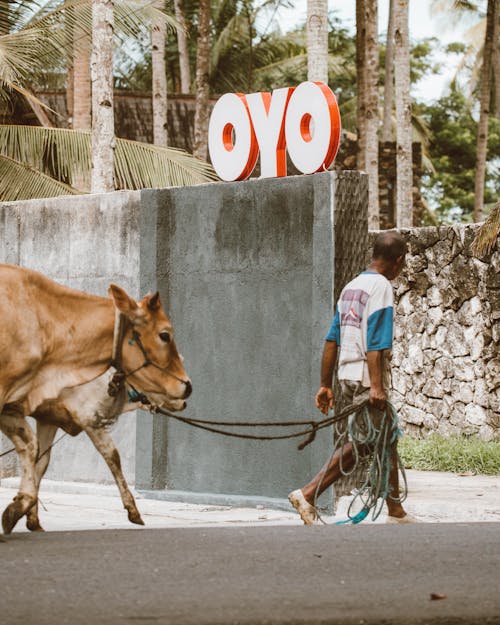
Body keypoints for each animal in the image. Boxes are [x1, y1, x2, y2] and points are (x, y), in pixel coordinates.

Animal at [0, 264, 191, 532]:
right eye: (165, 335)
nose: (187, 388)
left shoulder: (44, 418)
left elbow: (40, 460)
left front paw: (29, 515)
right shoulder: (89, 418)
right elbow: (113, 456)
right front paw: (133, 510)